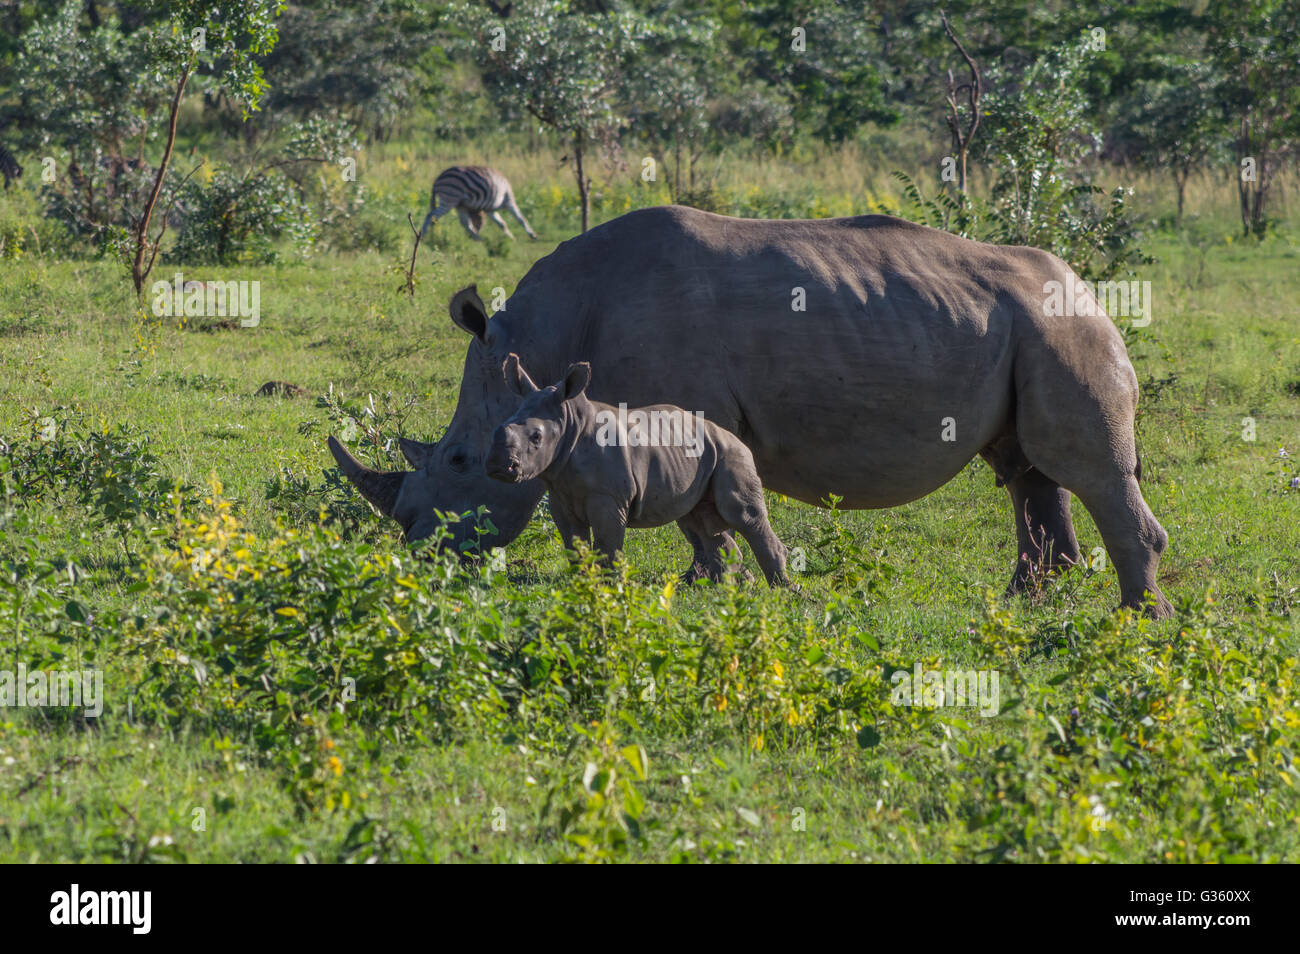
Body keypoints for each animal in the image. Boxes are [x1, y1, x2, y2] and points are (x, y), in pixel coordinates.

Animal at [486, 356, 785, 587]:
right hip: (703, 456)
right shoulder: (560, 493)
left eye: (536, 437)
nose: (499, 466)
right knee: (701, 522)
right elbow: (575, 546)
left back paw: (782, 591)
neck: (570, 425)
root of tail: (734, 437)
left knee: (742, 516)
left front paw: (608, 589)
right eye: (499, 426)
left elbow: (607, 547)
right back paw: (730, 590)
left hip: (730, 453)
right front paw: (582, 586)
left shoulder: (608, 498)